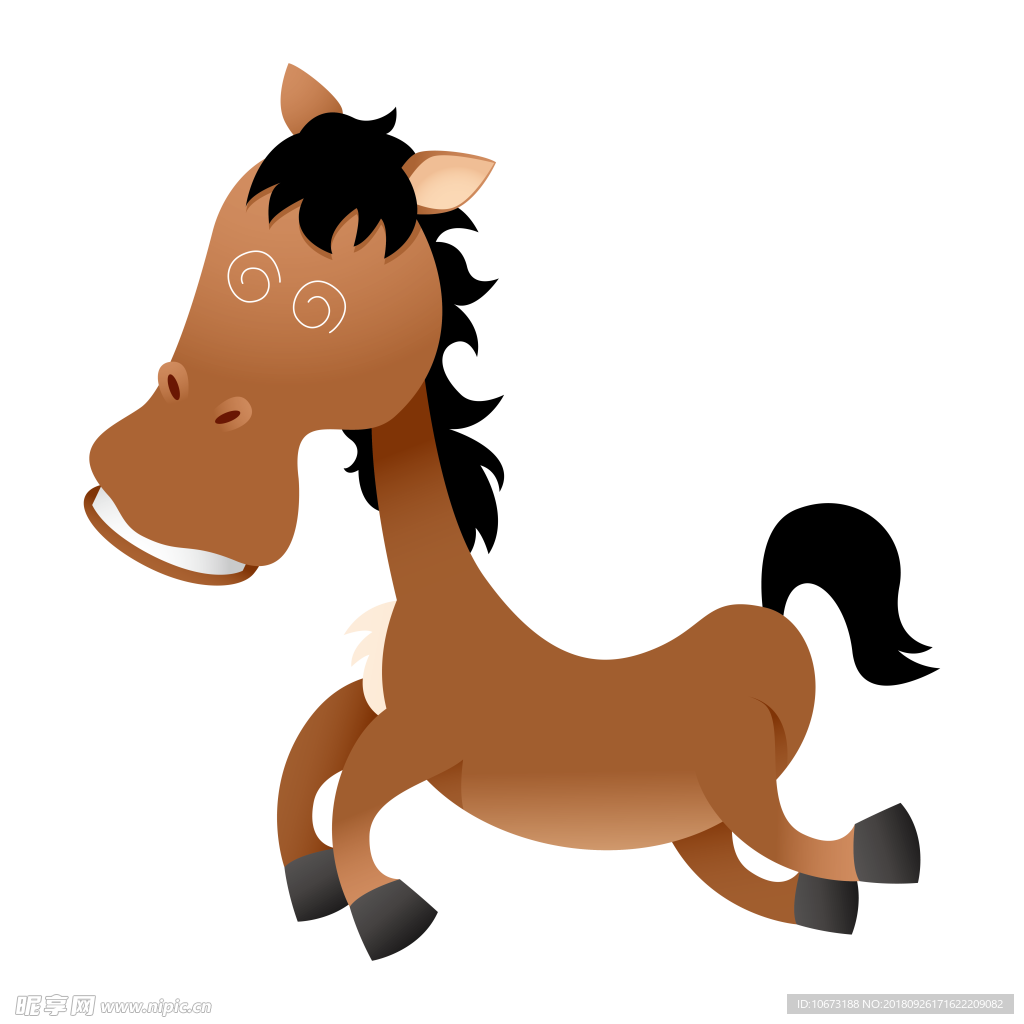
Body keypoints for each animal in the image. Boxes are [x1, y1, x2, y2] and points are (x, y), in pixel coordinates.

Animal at [83, 62, 921, 961]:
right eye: (230, 245)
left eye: (320, 304)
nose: (157, 487)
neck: (440, 609)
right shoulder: (371, 707)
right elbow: (308, 757)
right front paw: (310, 885)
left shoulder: (426, 737)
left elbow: (353, 794)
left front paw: (384, 912)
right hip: (698, 828)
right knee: (757, 872)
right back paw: (825, 906)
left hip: (732, 789)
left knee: (804, 839)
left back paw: (885, 849)